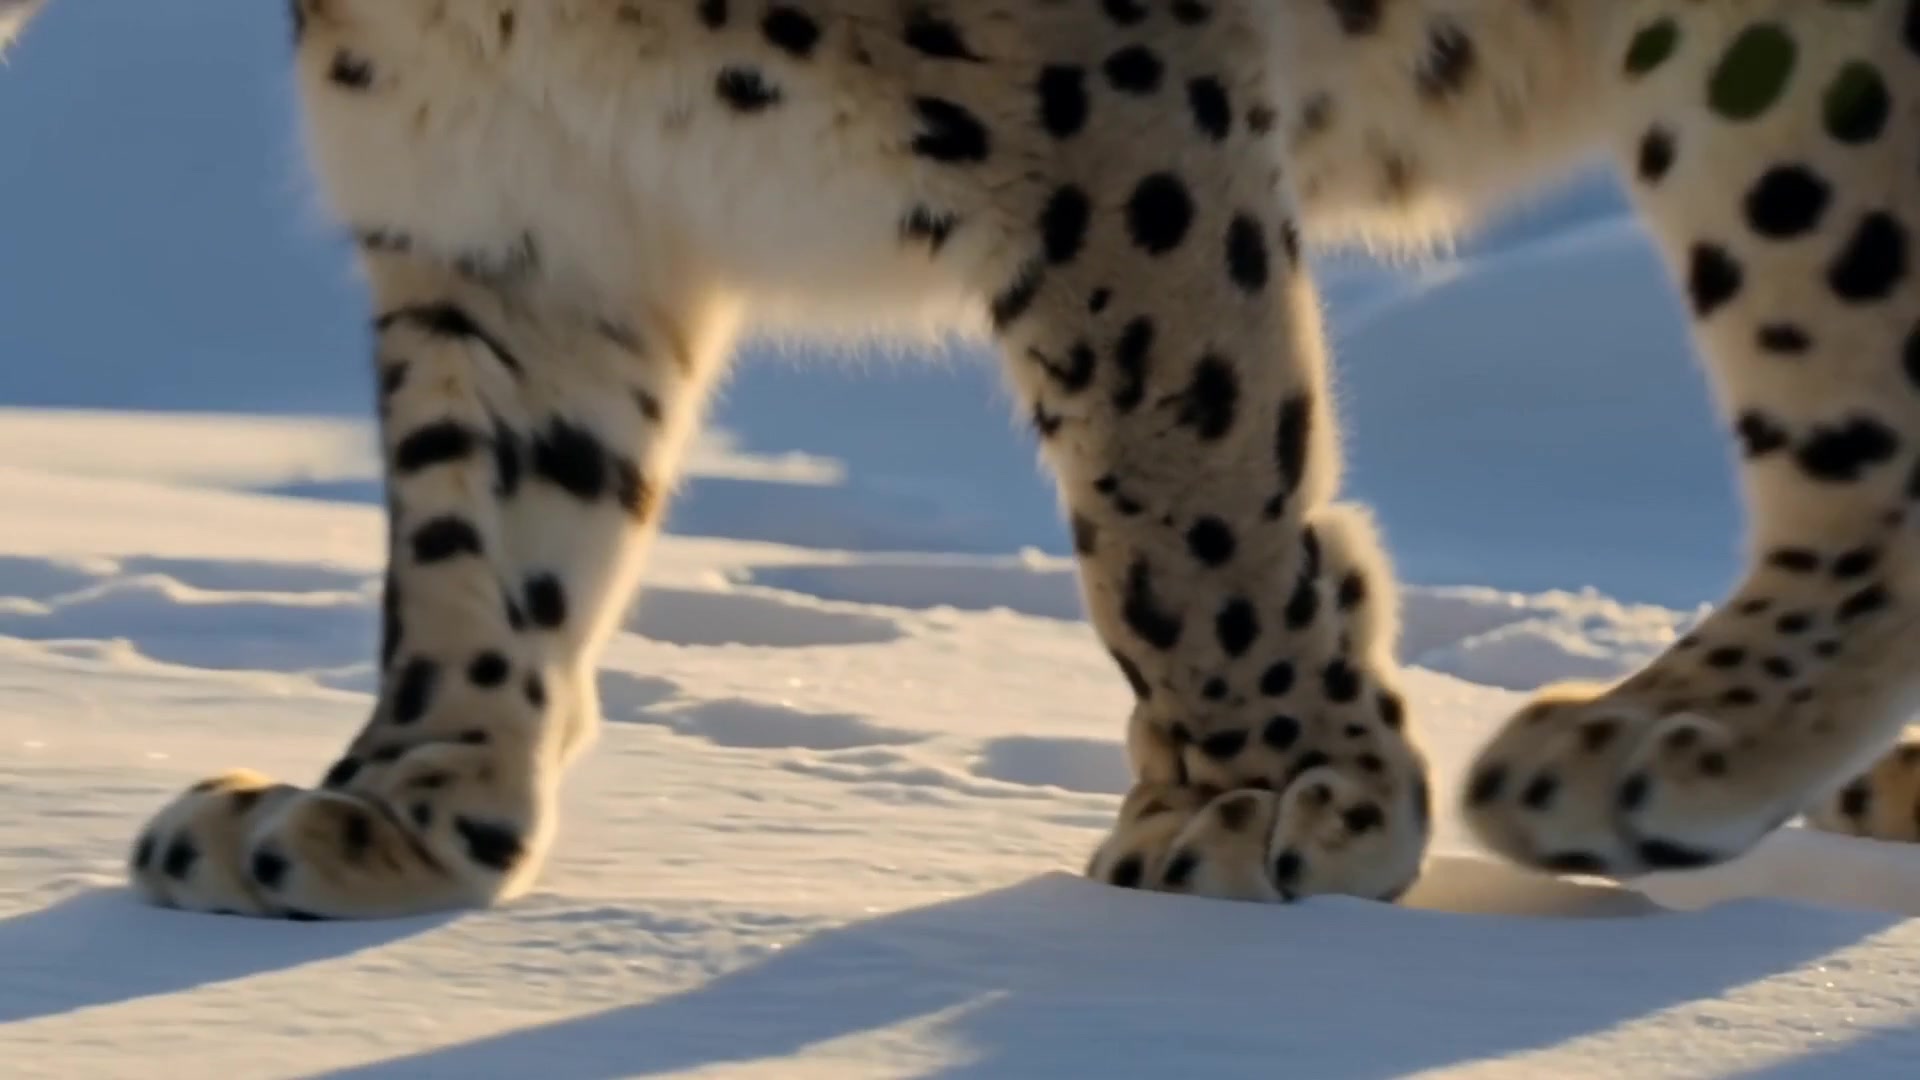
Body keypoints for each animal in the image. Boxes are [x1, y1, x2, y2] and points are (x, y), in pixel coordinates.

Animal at [4, 0, 1916, 918]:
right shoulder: (506, 200)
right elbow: (480, 536)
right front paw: (398, 810)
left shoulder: (1094, 102)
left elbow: (1182, 467)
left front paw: (1270, 796)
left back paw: (1642, 752)